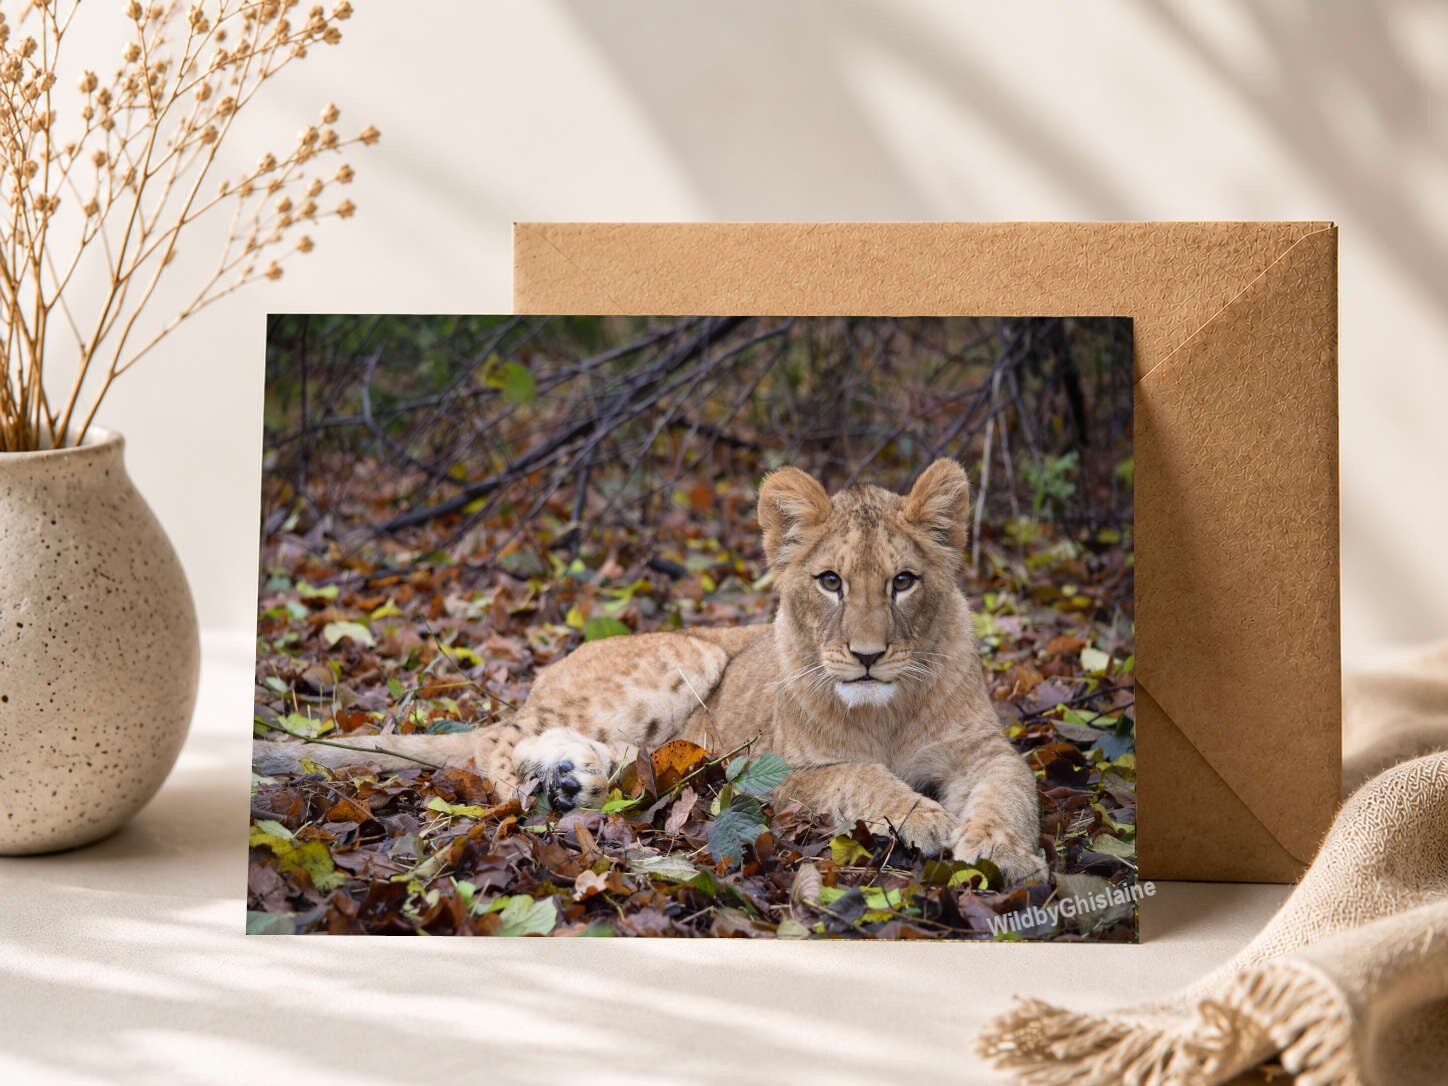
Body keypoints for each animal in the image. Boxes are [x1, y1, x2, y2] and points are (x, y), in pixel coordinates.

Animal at [255, 459, 1048, 883]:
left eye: (903, 582)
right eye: (830, 582)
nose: (868, 654)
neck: (886, 707)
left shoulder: (983, 750)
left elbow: (1016, 786)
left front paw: (1004, 852)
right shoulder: (777, 771)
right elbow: (860, 776)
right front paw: (926, 819)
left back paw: (575, 778)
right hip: (688, 655)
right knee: (498, 741)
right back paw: (534, 793)